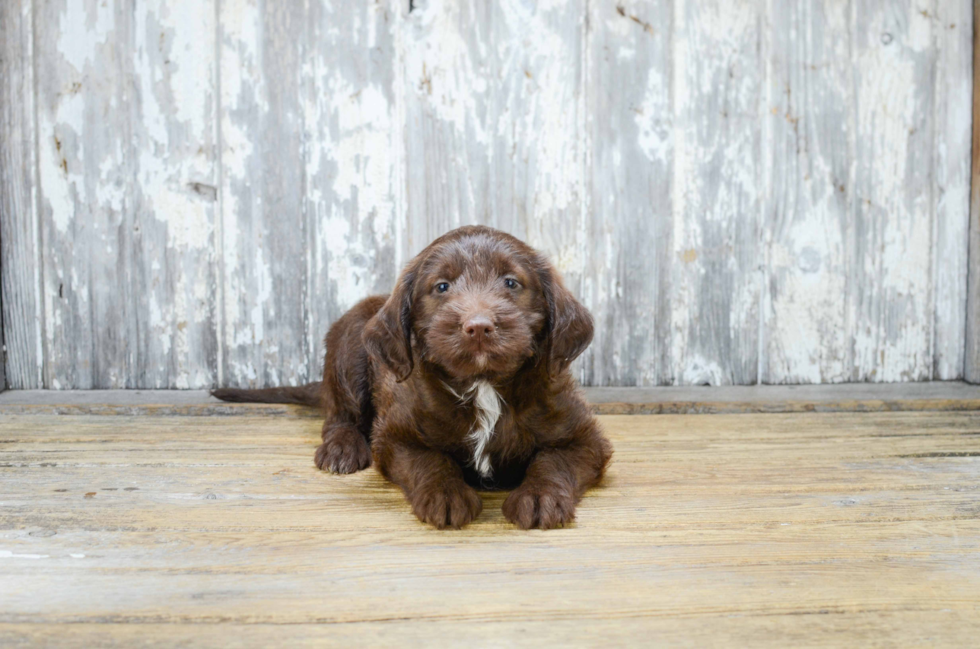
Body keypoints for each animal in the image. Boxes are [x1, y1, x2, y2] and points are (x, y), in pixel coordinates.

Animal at [214, 225, 612, 528]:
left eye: (512, 283)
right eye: (442, 286)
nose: (479, 326)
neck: (483, 383)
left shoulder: (584, 436)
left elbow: (553, 460)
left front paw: (539, 497)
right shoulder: (395, 435)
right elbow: (430, 459)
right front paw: (446, 495)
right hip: (349, 351)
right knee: (340, 415)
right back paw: (342, 448)